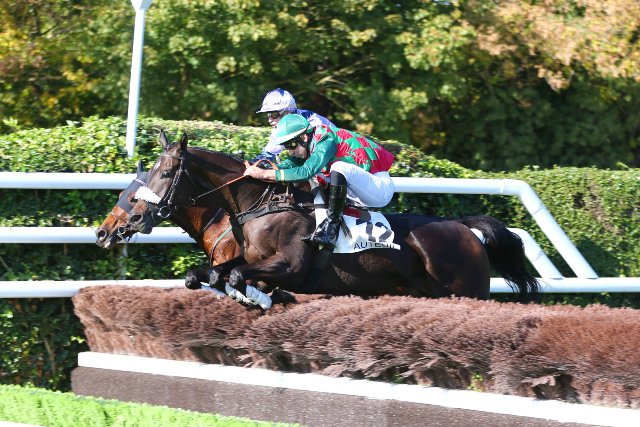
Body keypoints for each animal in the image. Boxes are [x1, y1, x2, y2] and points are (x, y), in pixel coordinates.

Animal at [126, 133, 540, 309]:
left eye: (165, 174)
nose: (138, 214)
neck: (261, 205)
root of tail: (465, 230)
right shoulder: (244, 258)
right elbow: (210, 275)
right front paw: (258, 296)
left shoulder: (291, 266)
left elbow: (237, 276)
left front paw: (262, 298)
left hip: (469, 291)